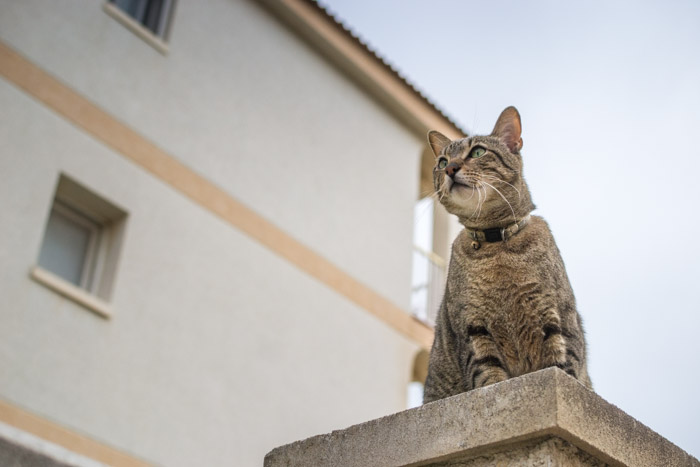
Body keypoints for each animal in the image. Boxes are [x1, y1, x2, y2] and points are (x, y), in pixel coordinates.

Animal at [422, 105, 592, 402]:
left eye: (478, 152)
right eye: (442, 162)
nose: (451, 168)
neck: (498, 246)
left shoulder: (557, 319)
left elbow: (562, 365)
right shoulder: (472, 328)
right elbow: (488, 375)